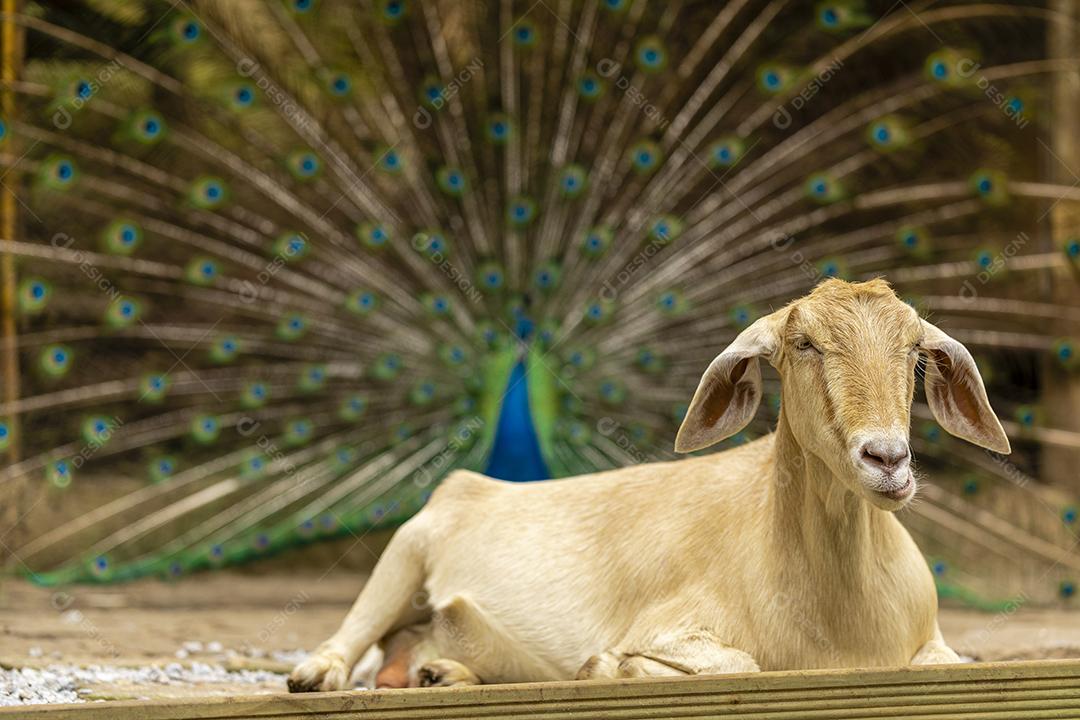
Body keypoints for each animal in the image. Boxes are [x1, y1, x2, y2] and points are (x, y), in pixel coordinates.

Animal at [288, 278, 1010, 692]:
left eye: (915, 352)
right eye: (803, 343)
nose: (886, 459)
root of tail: (469, 485)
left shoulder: (934, 642)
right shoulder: (672, 625)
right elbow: (740, 662)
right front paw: (606, 666)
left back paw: (442, 670)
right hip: (403, 553)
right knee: (349, 639)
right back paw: (318, 674)